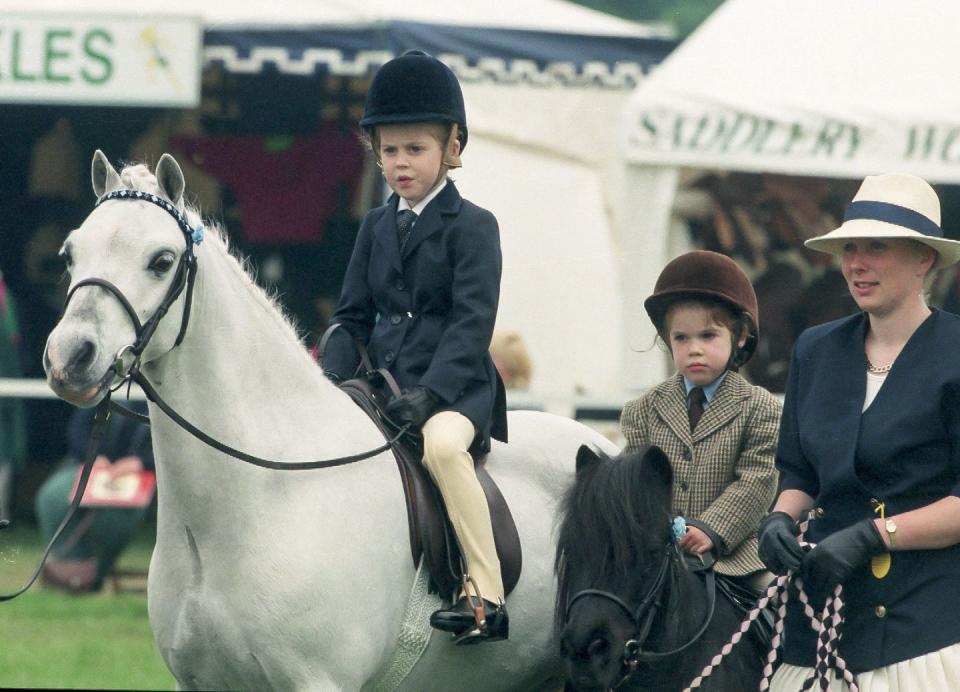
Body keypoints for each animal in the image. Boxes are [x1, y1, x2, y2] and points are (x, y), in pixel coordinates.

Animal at [43, 153, 616, 692]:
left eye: (161, 261)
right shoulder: (197, 682)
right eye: (71, 253)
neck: (263, 492)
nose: (70, 358)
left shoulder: (319, 680)